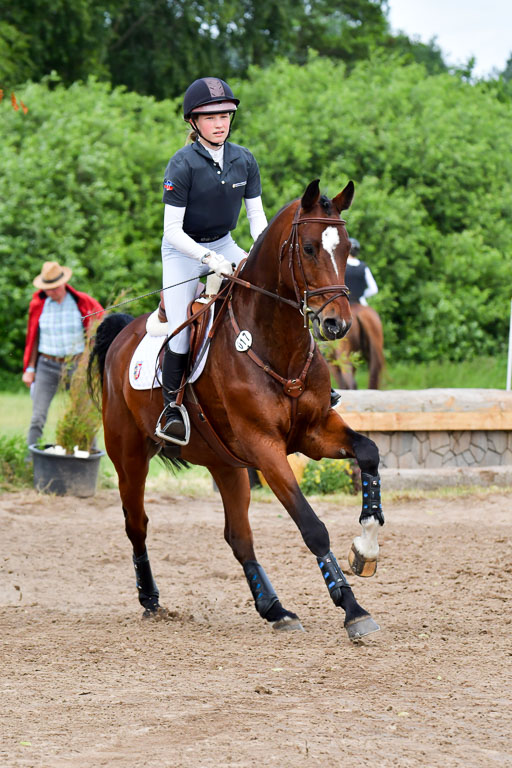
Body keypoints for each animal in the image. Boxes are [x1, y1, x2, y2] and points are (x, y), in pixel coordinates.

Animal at [88, 179, 385, 640]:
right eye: (309, 248)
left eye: (346, 247)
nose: (337, 324)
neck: (274, 343)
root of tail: (123, 333)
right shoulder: (265, 448)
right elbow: (312, 527)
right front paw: (351, 607)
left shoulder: (315, 432)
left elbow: (368, 452)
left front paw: (365, 549)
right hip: (130, 456)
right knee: (137, 525)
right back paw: (150, 599)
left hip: (225, 463)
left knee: (238, 536)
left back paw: (275, 608)